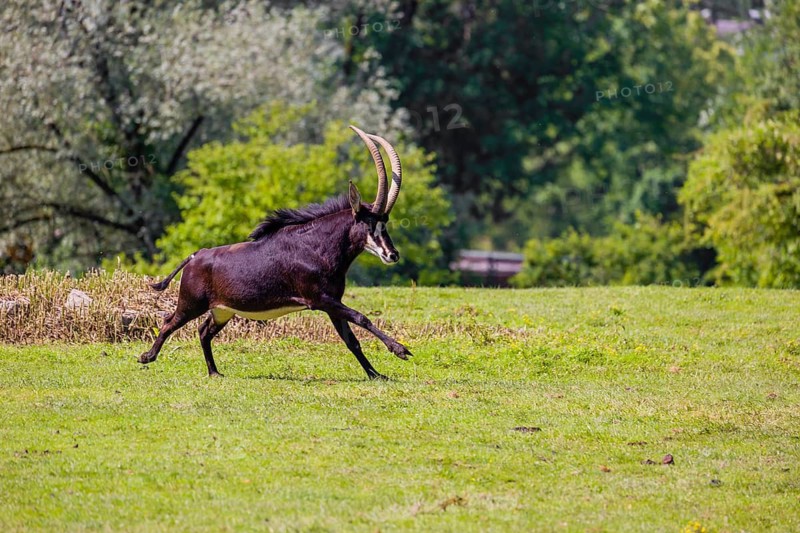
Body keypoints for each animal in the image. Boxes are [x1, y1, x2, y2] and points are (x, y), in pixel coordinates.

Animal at [138, 125, 412, 379]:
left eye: (385, 223)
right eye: (368, 224)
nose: (392, 255)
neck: (317, 247)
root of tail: (196, 256)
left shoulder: (333, 301)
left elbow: (351, 340)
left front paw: (375, 374)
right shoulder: (321, 300)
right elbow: (362, 318)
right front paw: (400, 350)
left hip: (222, 311)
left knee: (204, 331)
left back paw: (214, 372)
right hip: (191, 304)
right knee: (169, 322)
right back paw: (147, 357)